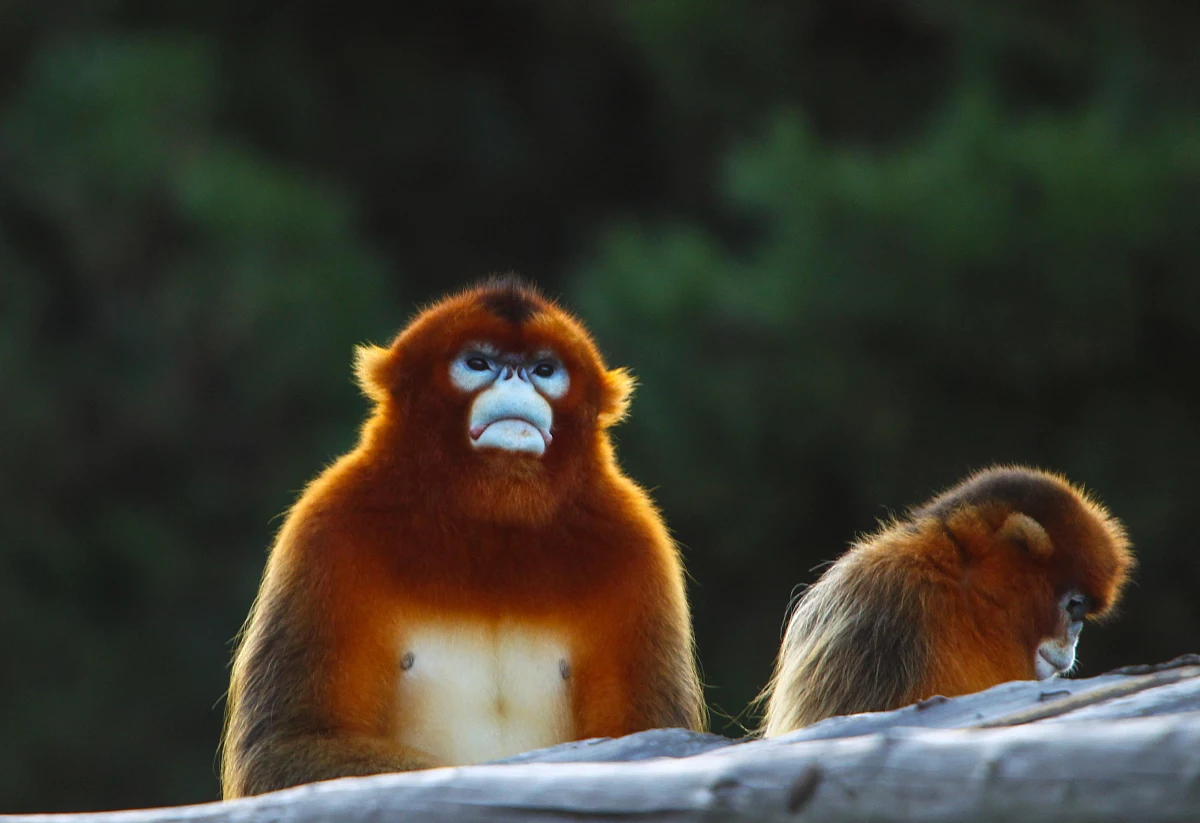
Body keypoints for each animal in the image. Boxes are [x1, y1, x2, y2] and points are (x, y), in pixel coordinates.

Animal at [225, 277, 700, 801]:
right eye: (478, 364)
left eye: (543, 369)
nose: (515, 379)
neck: (491, 526)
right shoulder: (327, 526)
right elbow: (284, 748)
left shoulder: (635, 539)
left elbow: (651, 734)